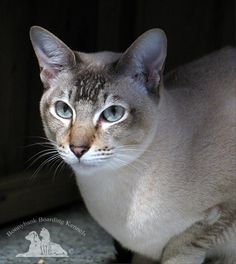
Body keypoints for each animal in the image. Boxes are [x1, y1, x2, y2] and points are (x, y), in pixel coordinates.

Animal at [30, 26, 236, 264]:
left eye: (113, 113)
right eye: (63, 110)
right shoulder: (142, 252)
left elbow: (183, 247)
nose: (78, 149)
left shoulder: (219, 214)